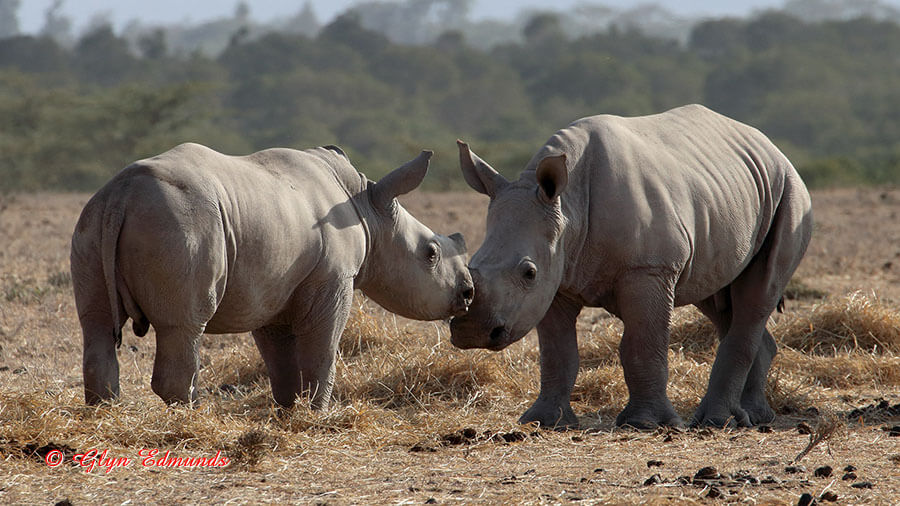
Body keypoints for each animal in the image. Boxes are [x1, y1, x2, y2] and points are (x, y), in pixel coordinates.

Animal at [71, 143, 474, 408]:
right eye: (431, 254)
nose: (469, 292)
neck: (368, 208)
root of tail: (123, 193)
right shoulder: (332, 281)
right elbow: (322, 350)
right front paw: (316, 413)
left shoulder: (271, 289)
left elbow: (280, 358)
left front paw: (289, 409)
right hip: (179, 225)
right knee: (183, 326)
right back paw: (187, 416)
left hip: (92, 220)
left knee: (96, 324)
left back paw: (106, 414)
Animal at [450, 104, 813, 429]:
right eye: (472, 265)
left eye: (529, 272)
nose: (471, 332)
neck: (568, 207)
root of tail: (772, 147)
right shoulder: (556, 278)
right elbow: (557, 353)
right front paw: (545, 422)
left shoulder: (648, 269)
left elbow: (642, 344)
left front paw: (646, 424)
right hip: (729, 195)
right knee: (720, 299)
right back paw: (753, 418)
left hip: (790, 191)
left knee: (757, 294)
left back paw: (716, 422)